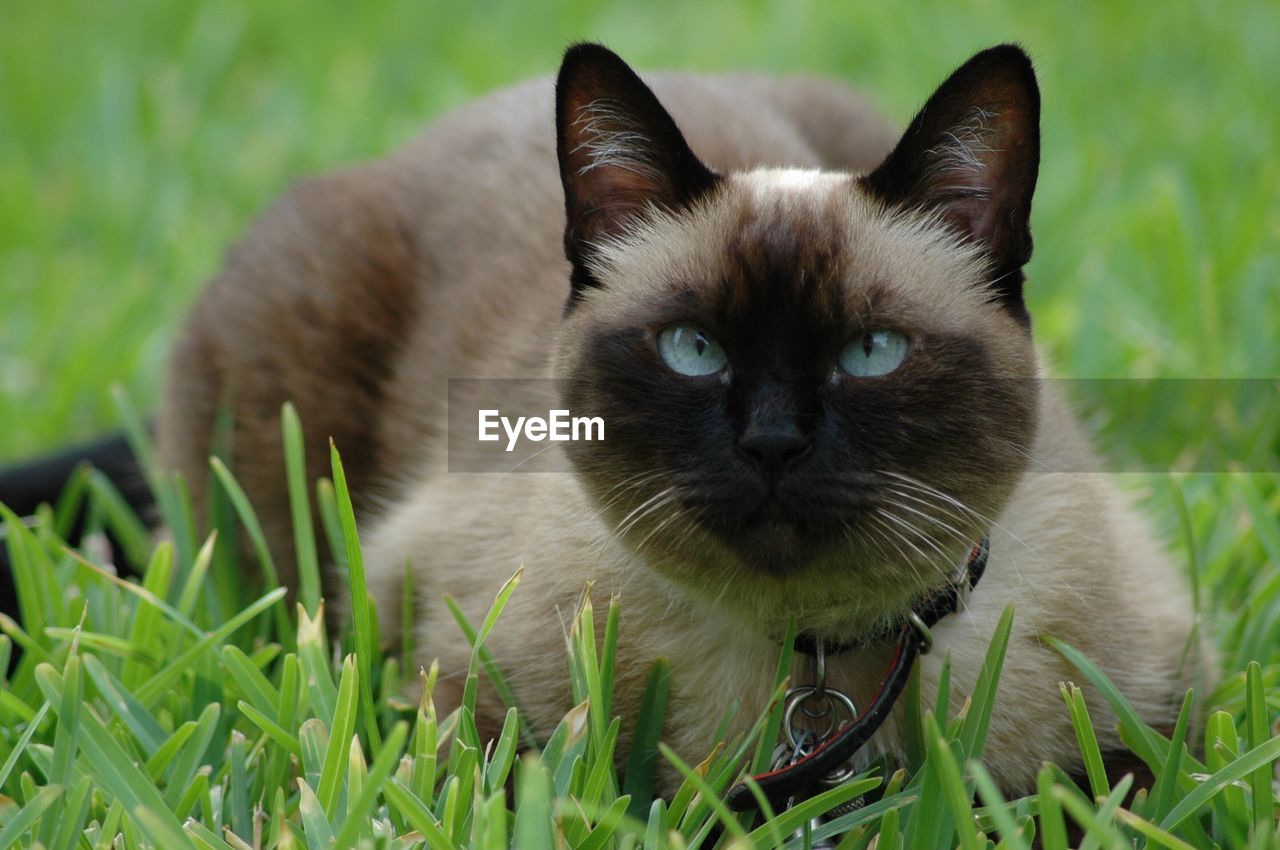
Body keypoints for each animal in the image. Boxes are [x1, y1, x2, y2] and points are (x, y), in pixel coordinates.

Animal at [154, 41, 1192, 798]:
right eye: (694, 349)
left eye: (871, 352)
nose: (772, 443)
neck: (815, 657)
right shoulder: (453, 697)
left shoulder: (1151, 722)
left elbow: (1098, 795)